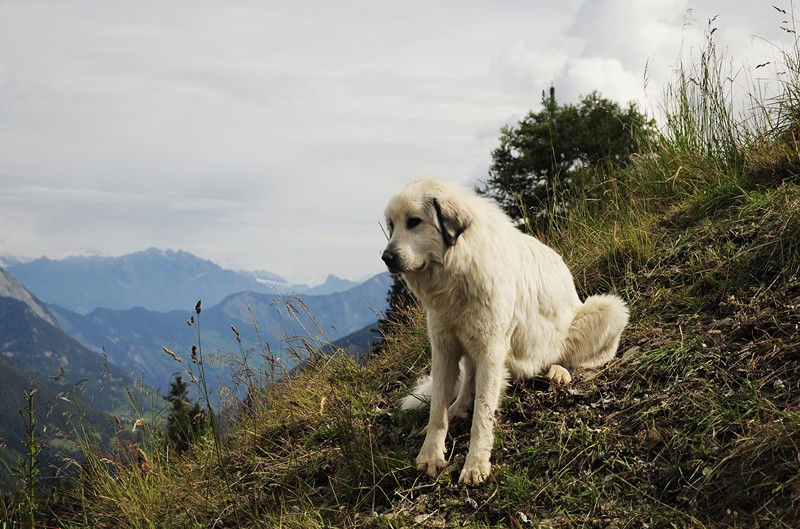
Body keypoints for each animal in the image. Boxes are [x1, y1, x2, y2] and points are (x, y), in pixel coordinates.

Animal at [382, 179, 632, 484]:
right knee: (467, 380)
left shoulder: (491, 350)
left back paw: (559, 371)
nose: (386, 257)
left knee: (581, 359)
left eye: (414, 222)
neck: (456, 270)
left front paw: (475, 464)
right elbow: (438, 410)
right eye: (391, 226)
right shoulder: (444, 347)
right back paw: (459, 408)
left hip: (609, 308)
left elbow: (482, 414)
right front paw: (431, 455)